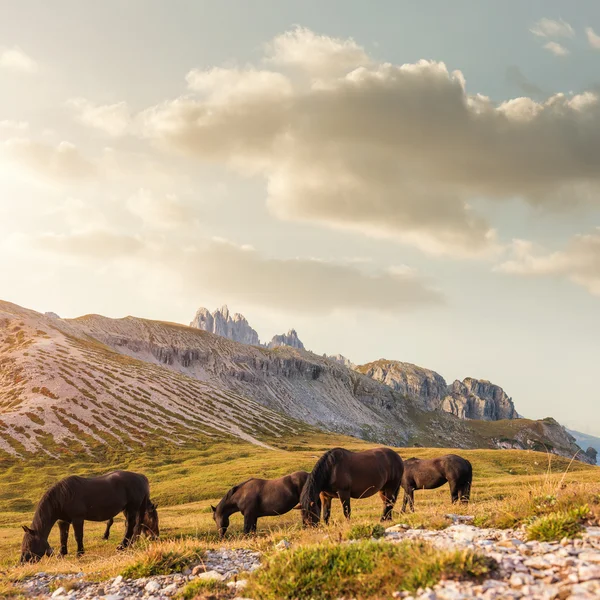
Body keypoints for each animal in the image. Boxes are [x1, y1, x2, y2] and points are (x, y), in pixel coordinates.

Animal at [19, 468, 151, 564]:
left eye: (29, 544)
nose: (22, 562)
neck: (62, 497)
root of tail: (141, 477)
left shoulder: (77, 519)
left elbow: (78, 536)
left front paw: (79, 553)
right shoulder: (62, 521)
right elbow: (63, 537)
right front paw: (61, 554)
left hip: (131, 508)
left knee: (131, 525)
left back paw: (122, 546)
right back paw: (131, 543)